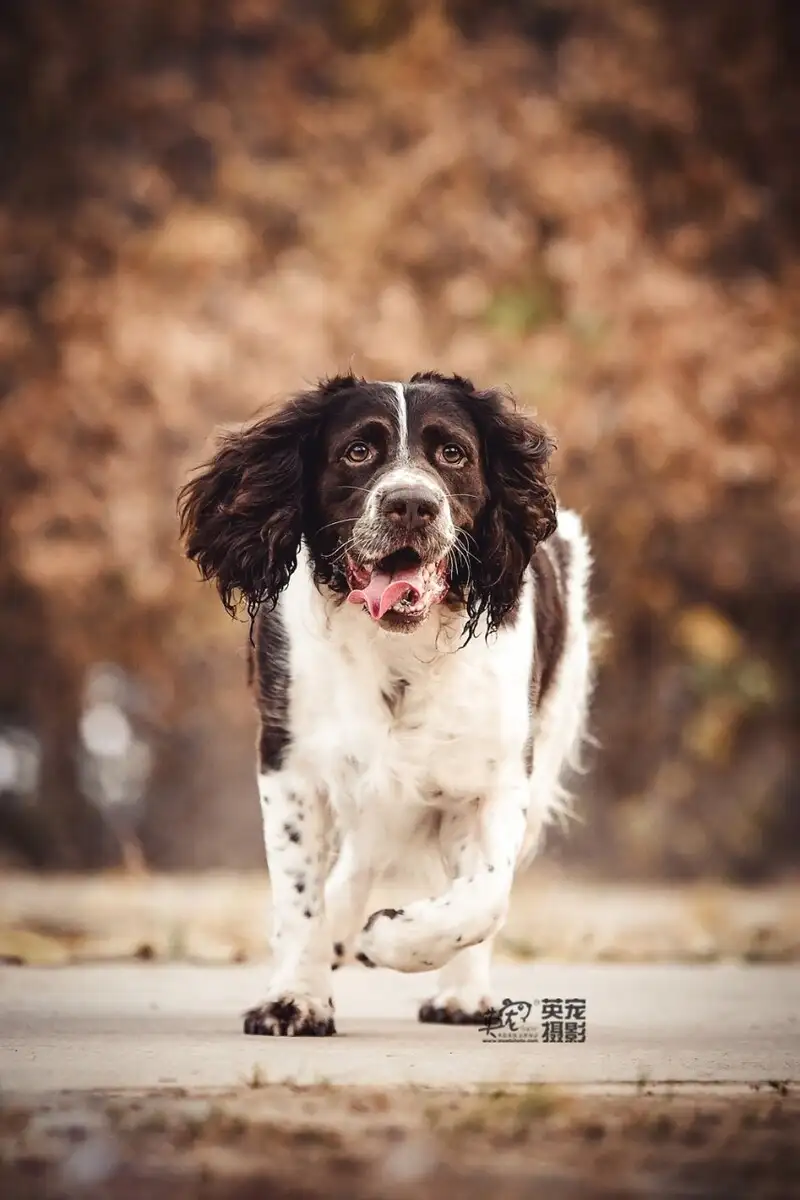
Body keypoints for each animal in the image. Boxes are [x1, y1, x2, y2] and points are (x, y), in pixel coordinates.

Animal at [178, 372, 592, 1032]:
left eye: (452, 453)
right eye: (357, 451)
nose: (412, 504)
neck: (399, 648)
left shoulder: (498, 775)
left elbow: (484, 898)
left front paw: (391, 939)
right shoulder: (290, 760)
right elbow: (298, 894)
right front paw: (296, 996)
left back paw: (459, 994)